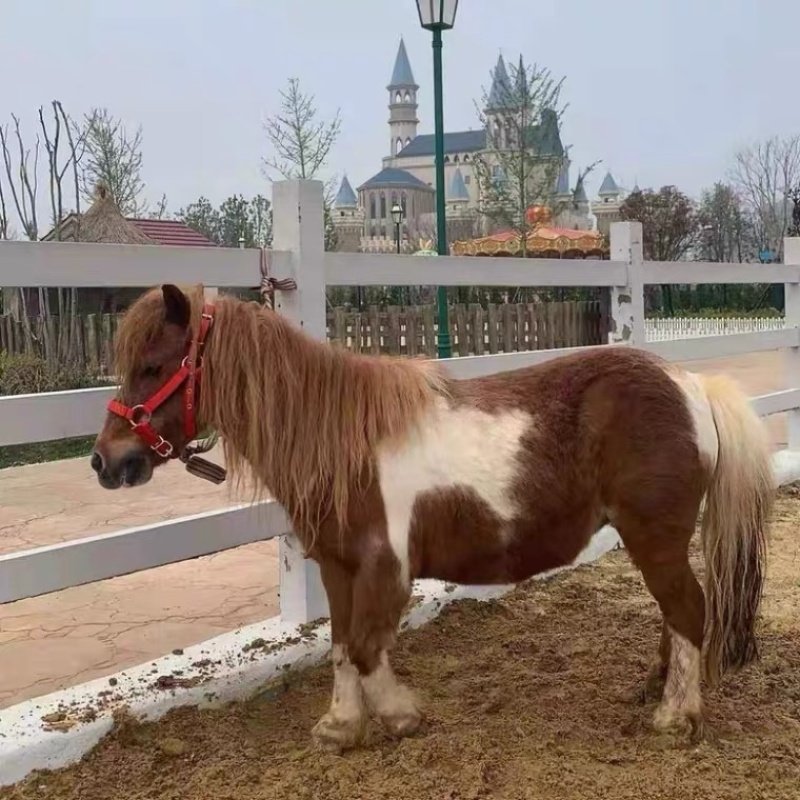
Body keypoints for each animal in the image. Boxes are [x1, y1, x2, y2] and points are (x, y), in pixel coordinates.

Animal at [91, 283, 774, 751]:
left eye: (153, 366)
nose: (105, 460)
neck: (343, 438)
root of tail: (693, 386)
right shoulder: (337, 567)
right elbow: (340, 647)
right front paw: (341, 726)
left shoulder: (384, 569)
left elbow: (367, 647)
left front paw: (399, 715)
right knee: (675, 612)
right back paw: (656, 689)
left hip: (654, 536)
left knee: (688, 609)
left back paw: (675, 717)